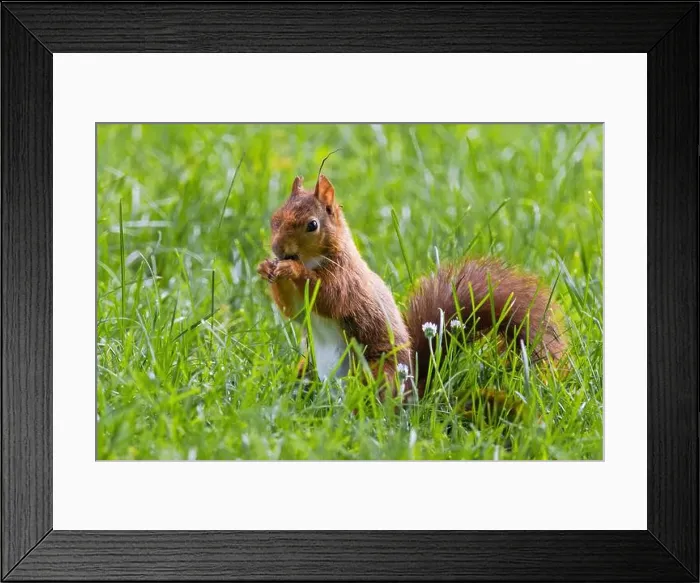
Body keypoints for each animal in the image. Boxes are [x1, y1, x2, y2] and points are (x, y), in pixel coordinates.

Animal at [257, 174, 567, 403]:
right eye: (274, 218)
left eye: (312, 225)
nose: (278, 249)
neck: (314, 259)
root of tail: (414, 393)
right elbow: (294, 312)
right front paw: (266, 268)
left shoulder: (345, 282)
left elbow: (325, 295)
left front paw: (291, 270)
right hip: (307, 367)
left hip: (378, 370)